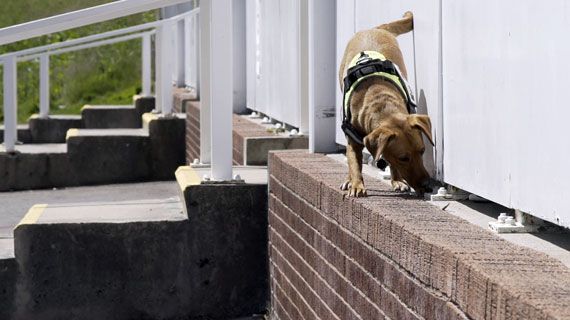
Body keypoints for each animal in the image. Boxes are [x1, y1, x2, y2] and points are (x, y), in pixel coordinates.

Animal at [340, 12, 432, 196]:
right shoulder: (352, 139)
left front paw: (397, 181)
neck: (381, 104)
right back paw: (349, 180)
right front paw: (356, 184)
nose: (427, 186)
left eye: (422, 151)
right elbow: (354, 162)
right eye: (403, 158)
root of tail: (374, 29)